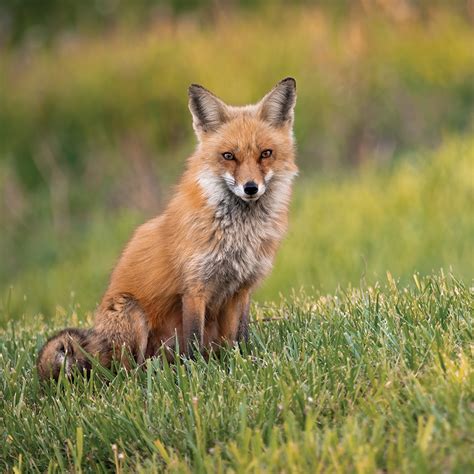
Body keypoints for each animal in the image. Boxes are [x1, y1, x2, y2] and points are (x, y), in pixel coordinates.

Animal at [38, 78, 296, 382]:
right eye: (228, 156)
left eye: (265, 154)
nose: (251, 188)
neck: (239, 236)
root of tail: (97, 346)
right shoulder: (194, 288)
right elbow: (194, 340)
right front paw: (198, 373)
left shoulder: (242, 288)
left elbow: (239, 337)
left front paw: (244, 361)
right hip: (131, 313)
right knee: (125, 373)